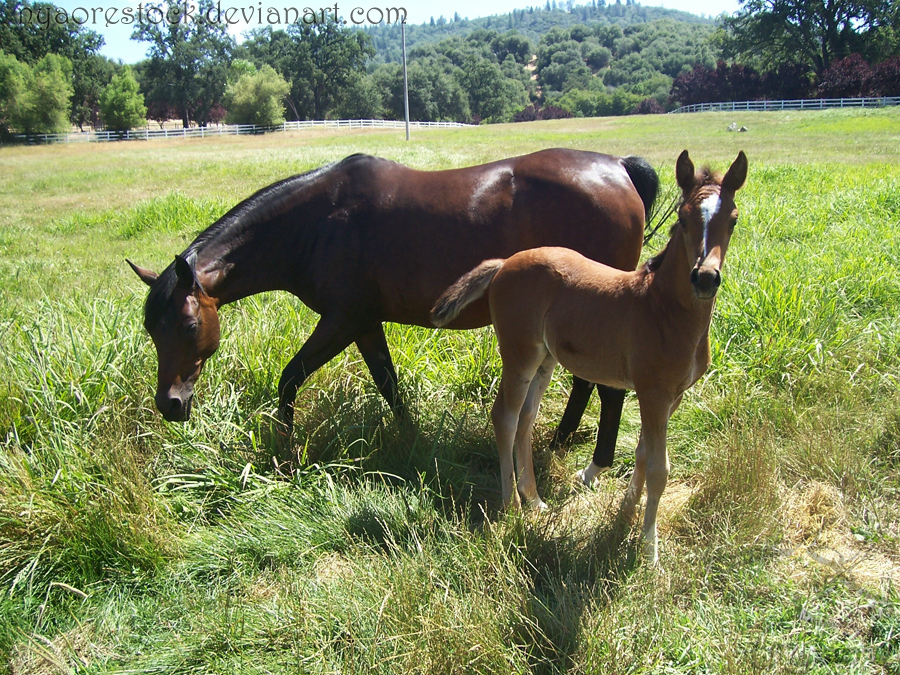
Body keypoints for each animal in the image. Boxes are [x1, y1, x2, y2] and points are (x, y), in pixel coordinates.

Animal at [432, 151, 748, 564]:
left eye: (733, 218)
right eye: (683, 217)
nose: (706, 278)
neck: (662, 309)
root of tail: (504, 263)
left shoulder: (672, 397)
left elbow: (643, 454)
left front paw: (625, 515)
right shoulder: (653, 393)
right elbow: (659, 467)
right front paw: (649, 550)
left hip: (545, 359)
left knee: (526, 419)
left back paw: (535, 499)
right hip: (519, 353)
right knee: (505, 417)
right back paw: (512, 506)